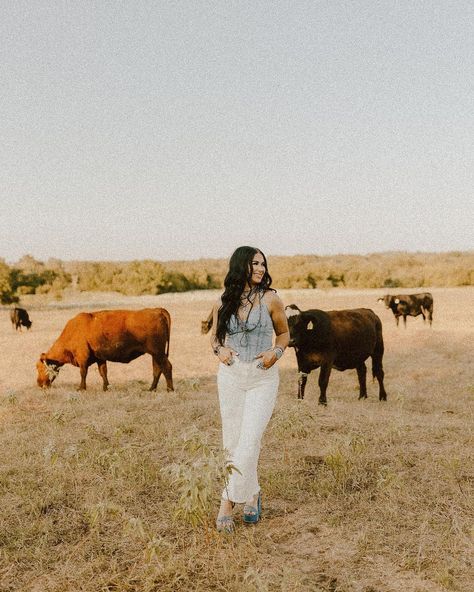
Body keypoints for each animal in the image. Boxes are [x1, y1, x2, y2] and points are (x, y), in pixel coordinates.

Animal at [36, 308, 174, 390]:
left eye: (40, 367)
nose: (39, 384)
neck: (73, 331)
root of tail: (157, 310)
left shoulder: (83, 358)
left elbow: (83, 373)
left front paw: (81, 388)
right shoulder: (100, 358)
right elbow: (103, 372)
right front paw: (105, 387)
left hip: (158, 353)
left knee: (166, 367)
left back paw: (169, 389)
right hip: (155, 354)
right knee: (157, 369)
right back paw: (151, 389)